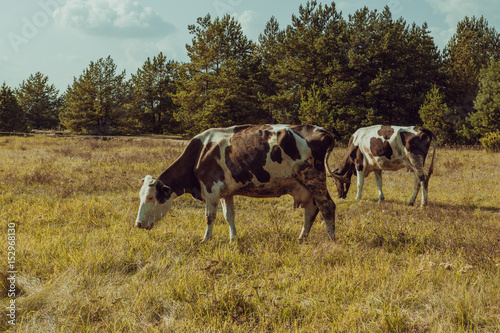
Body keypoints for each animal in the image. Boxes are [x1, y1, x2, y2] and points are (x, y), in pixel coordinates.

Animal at [136, 123, 348, 240]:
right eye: (141, 196)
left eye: (150, 198)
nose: (138, 224)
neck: (200, 153)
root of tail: (322, 131)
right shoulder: (226, 192)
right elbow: (229, 216)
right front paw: (233, 239)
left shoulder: (211, 188)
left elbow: (209, 216)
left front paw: (206, 239)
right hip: (305, 184)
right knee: (312, 209)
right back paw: (302, 237)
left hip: (313, 177)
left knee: (327, 206)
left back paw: (331, 239)